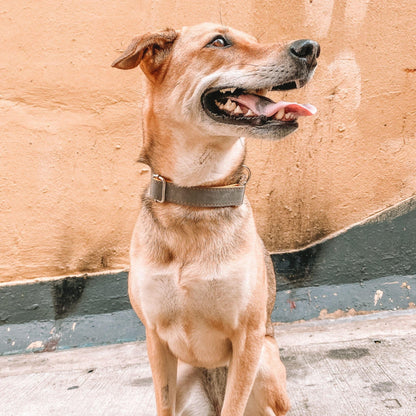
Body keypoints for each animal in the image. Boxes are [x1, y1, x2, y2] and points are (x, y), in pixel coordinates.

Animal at [112, 22, 320, 416]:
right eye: (219, 41)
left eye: (255, 39)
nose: (311, 48)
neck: (196, 198)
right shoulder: (156, 338)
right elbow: (162, 402)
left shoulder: (248, 337)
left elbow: (233, 407)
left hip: (266, 364)